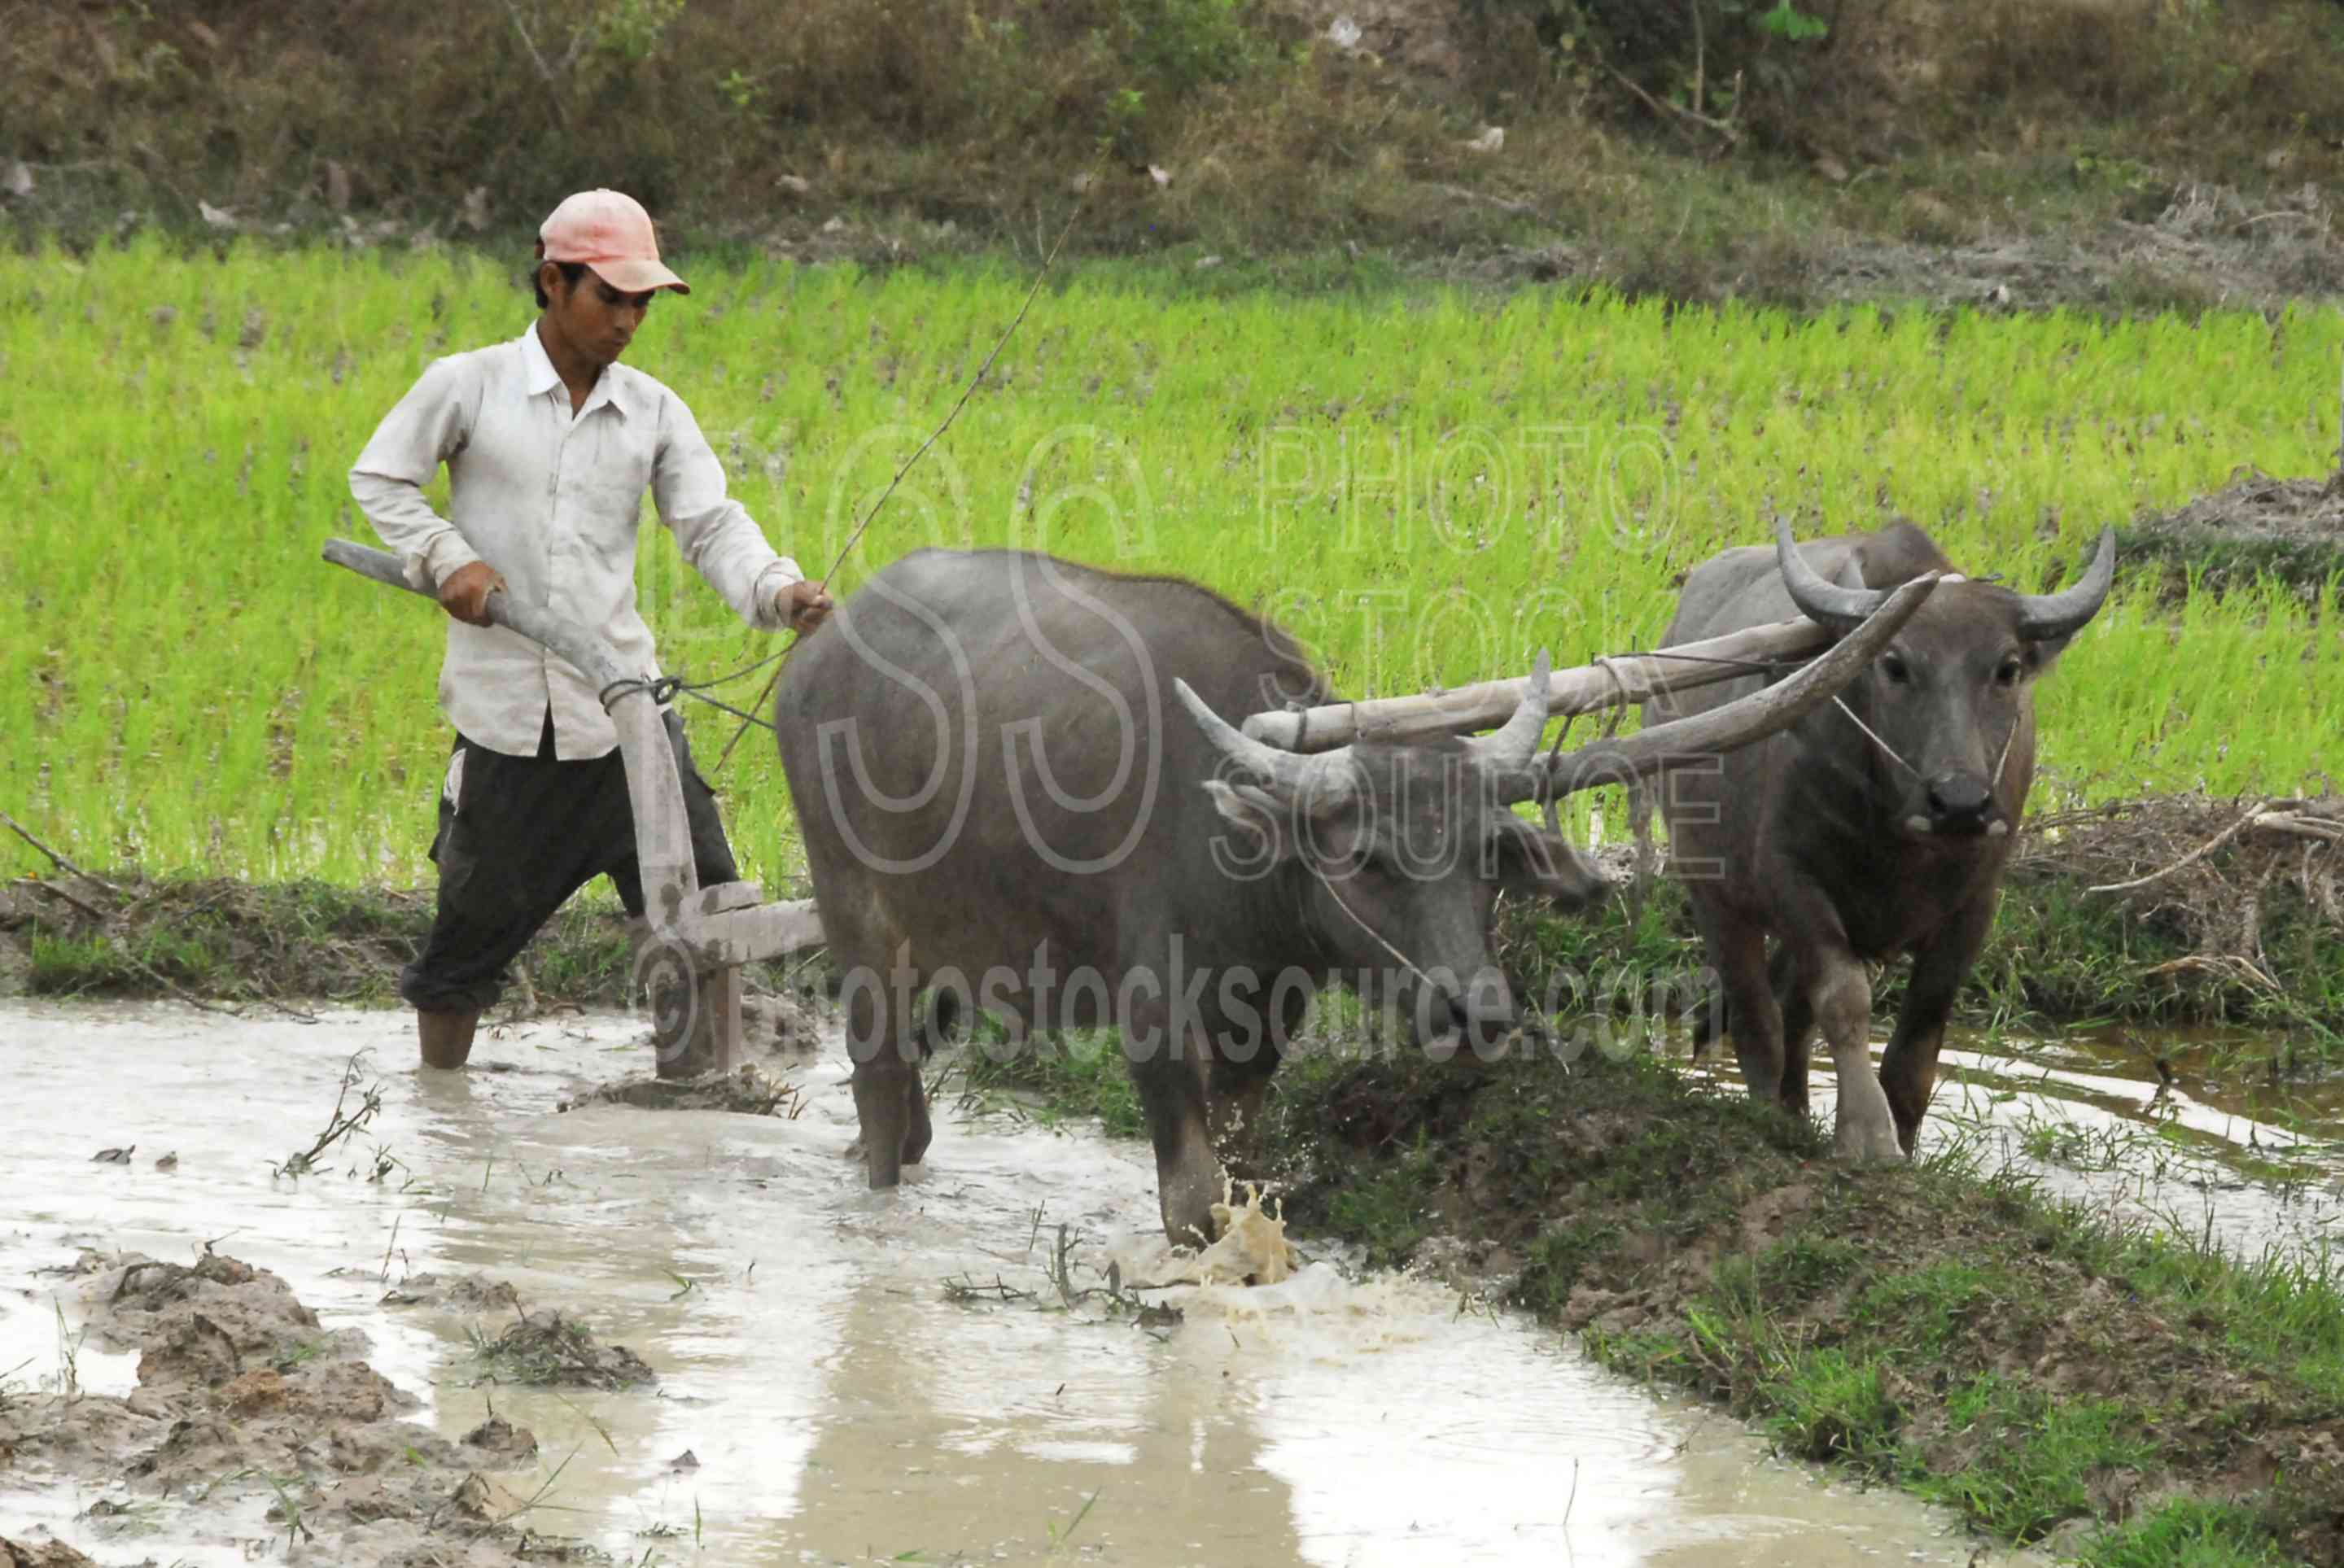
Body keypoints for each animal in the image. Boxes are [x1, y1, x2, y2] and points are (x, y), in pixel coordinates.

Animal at [776, 547, 1936, 1243]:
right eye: (1370, 857)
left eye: (1487, 857)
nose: (1479, 1013)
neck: (1237, 855)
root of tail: (820, 652)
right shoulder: (1156, 1024)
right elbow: (1192, 1203)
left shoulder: (1261, 1034)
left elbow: (1245, 1176)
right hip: (855, 917)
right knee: (880, 1087)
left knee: (911, 1097)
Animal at [1639, 519, 2116, 1160]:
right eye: (1894, 664)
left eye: (2008, 668)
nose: (1960, 802)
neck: (1900, 837)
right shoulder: (1790, 880)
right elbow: (1844, 998)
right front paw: (1866, 1134)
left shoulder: (1976, 903)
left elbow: (1919, 1035)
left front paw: (1905, 1141)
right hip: (1711, 889)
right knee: (1757, 1018)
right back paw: (1771, 1114)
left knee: (1791, 1013)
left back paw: (1795, 1111)